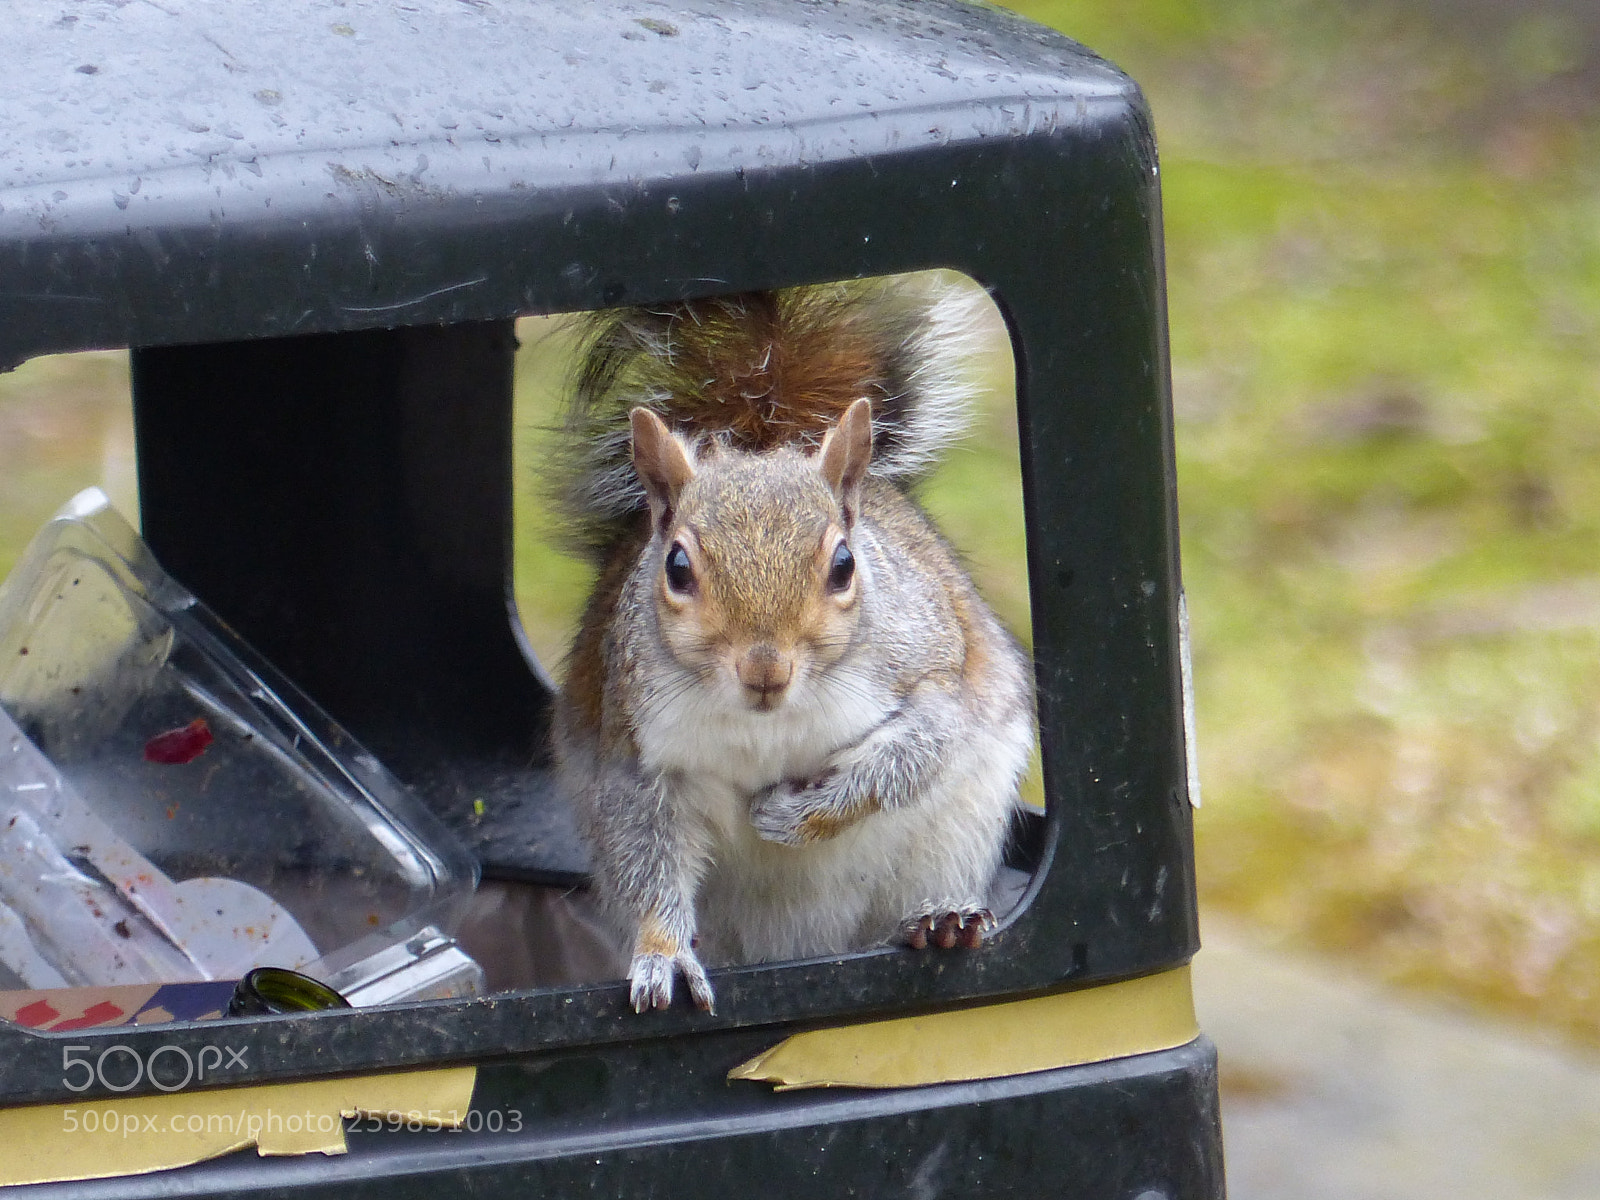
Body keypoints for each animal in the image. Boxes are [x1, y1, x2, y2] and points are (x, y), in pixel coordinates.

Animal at [549, 277, 1036, 1013]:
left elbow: (912, 753)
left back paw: (942, 920)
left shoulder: (927, 674)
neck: (766, 720)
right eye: (677, 568)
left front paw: (796, 817)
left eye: (844, 565)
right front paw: (663, 954)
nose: (765, 670)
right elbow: (648, 856)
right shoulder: (636, 749)